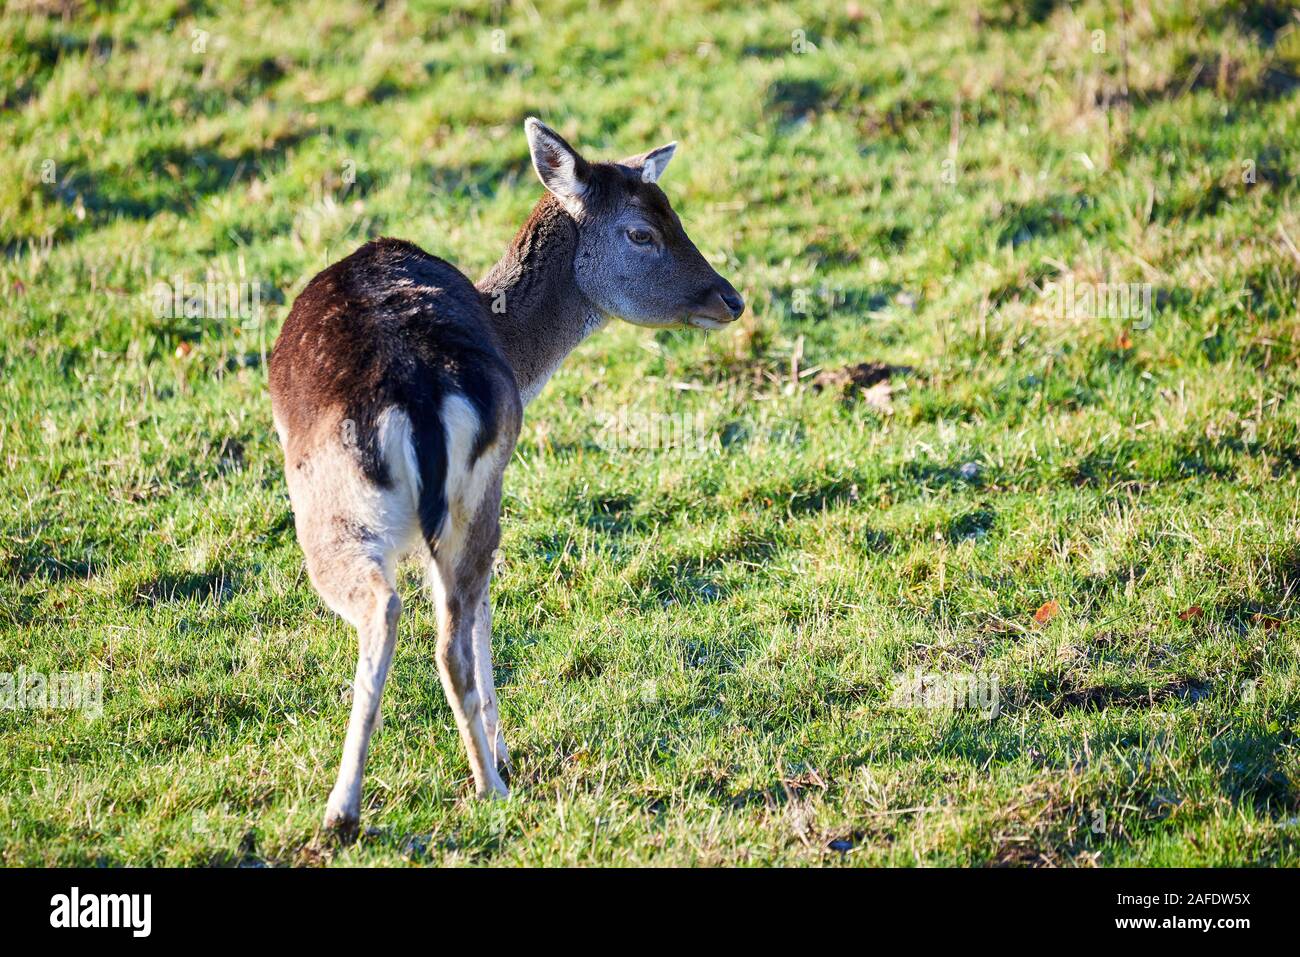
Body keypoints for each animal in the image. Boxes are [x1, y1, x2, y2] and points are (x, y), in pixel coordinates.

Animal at [268, 119, 744, 835]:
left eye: (676, 216)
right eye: (644, 230)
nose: (731, 298)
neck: (517, 353)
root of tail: (415, 394)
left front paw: (503, 753)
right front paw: (502, 749)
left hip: (360, 511)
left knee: (417, 621)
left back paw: (399, 798)